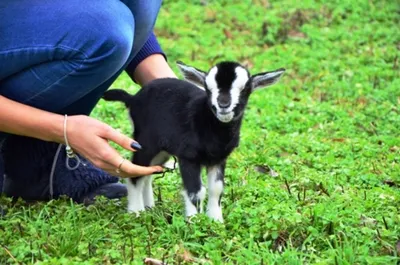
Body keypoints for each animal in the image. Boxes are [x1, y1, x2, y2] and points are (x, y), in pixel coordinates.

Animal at [103, 60, 284, 221]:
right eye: (208, 88)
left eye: (245, 88)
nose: (223, 104)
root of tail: (133, 98)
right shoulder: (188, 157)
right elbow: (195, 192)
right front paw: (194, 221)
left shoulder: (218, 160)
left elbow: (216, 189)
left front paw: (216, 220)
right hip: (145, 142)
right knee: (135, 172)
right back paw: (136, 212)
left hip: (162, 150)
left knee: (147, 173)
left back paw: (149, 208)